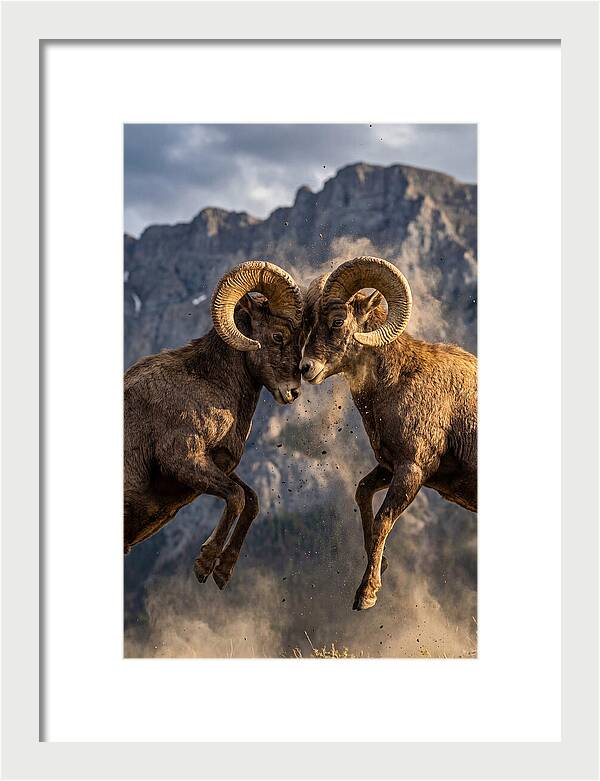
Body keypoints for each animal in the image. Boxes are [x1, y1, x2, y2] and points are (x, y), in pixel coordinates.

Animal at [124, 261, 304, 589]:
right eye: (277, 336)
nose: (293, 392)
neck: (209, 383)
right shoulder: (183, 460)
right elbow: (236, 498)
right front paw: (204, 564)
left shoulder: (218, 465)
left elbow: (251, 500)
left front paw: (222, 572)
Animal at [300, 256, 477, 610]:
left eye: (337, 320)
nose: (306, 368)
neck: (398, 381)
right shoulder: (388, 467)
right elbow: (362, 493)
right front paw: (380, 566)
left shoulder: (412, 470)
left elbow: (383, 520)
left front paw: (366, 595)